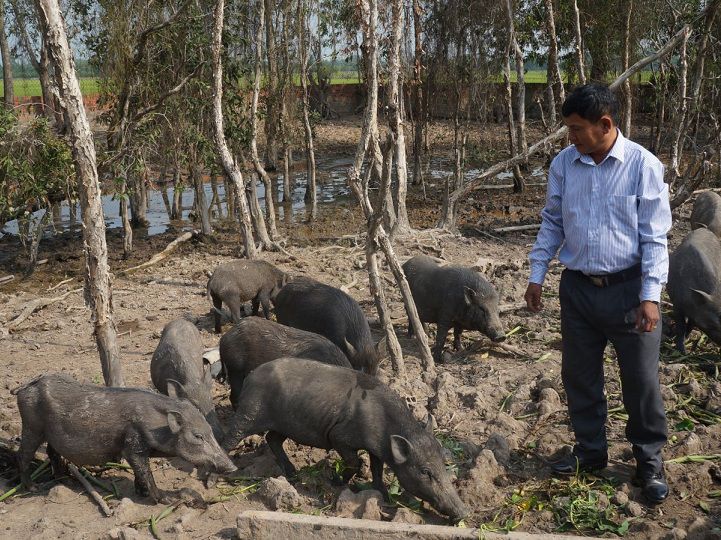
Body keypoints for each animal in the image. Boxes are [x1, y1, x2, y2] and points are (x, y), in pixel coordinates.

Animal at [14, 374, 235, 504]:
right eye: (198, 436)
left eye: (209, 431)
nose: (233, 467)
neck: (158, 428)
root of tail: (22, 388)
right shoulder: (133, 445)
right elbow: (146, 472)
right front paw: (164, 500)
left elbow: (140, 472)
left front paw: (141, 493)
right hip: (32, 427)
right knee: (23, 455)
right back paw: (33, 487)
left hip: (49, 435)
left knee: (51, 452)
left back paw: (65, 480)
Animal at [226, 358, 472, 524]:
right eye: (425, 472)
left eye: (444, 464)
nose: (464, 512)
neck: (383, 424)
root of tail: (250, 376)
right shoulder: (339, 437)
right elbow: (356, 463)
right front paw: (335, 481)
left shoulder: (377, 449)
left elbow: (376, 469)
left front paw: (384, 497)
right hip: (249, 413)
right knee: (229, 435)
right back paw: (228, 473)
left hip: (284, 425)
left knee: (272, 438)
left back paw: (293, 474)